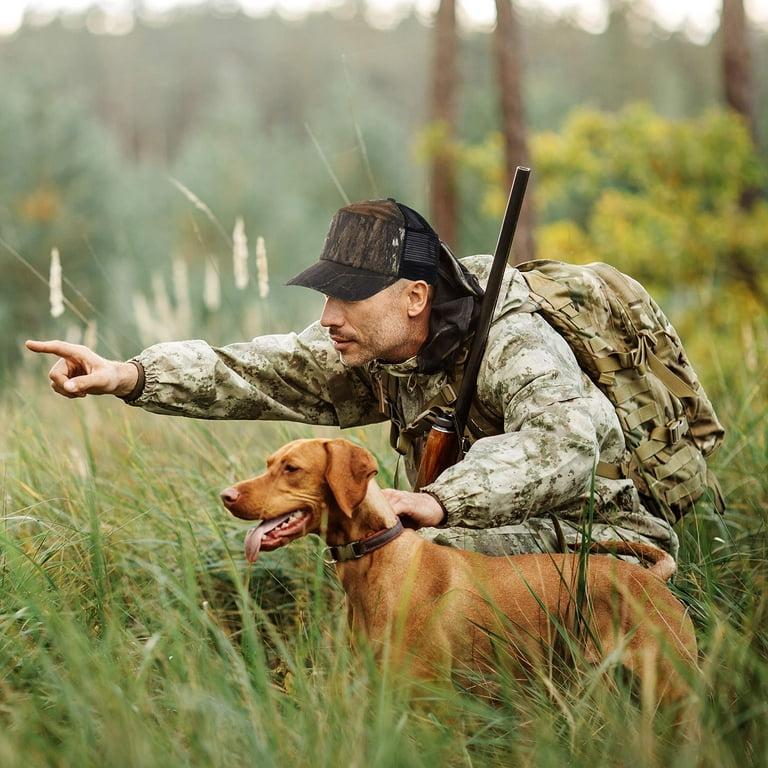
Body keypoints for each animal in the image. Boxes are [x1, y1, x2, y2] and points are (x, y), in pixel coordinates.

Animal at [220, 440, 696, 704]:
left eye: (292, 468)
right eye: (269, 463)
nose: (226, 495)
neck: (377, 558)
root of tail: (651, 578)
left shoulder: (429, 697)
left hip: (672, 687)